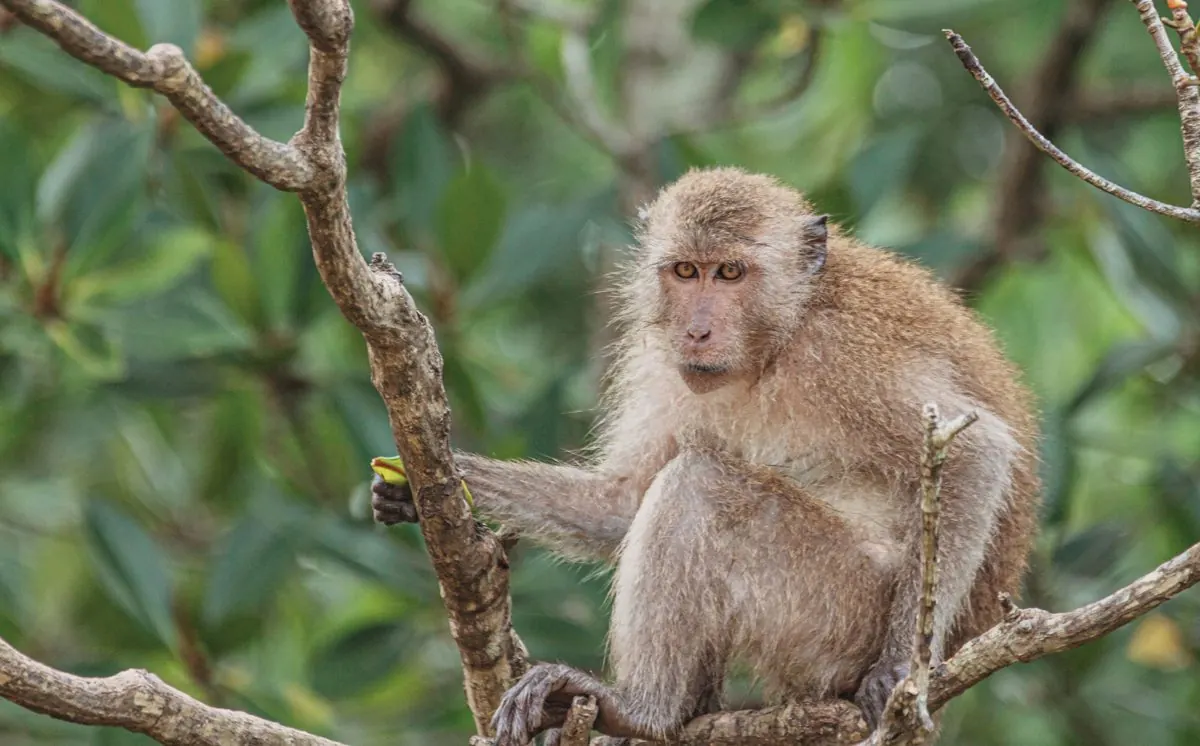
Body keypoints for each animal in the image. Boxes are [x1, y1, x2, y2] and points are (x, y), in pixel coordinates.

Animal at [371, 167, 1040, 745]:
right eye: (687, 271)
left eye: (731, 273)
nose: (696, 331)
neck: (778, 341)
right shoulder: (665, 362)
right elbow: (620, 504)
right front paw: (427, 485)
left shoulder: (842, 357)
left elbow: (977, 451)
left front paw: (900, 667)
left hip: (841, 613)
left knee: (699, 485)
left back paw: (644, 710)